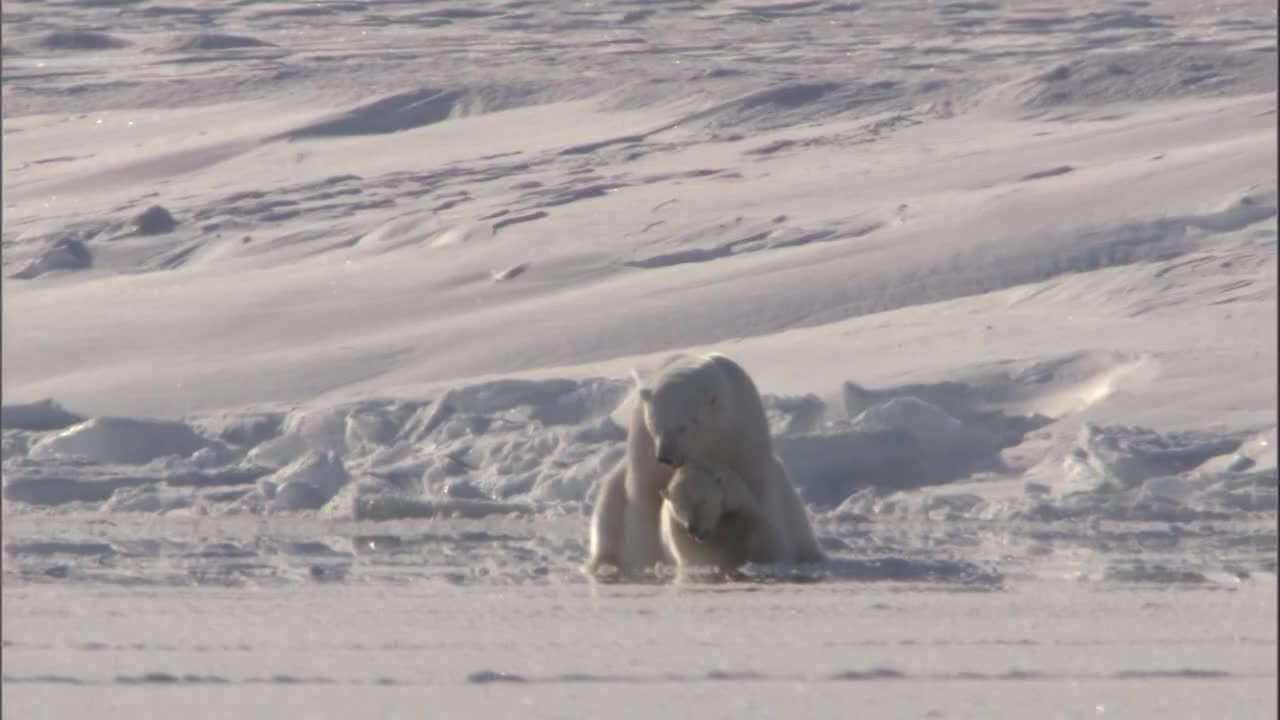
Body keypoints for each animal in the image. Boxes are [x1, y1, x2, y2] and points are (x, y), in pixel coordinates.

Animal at [660, 458, 788, 576]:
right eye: (680, 507)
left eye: (702, 501)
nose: (693, 529)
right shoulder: (679, 530)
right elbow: (693, 553)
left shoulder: (741, 513)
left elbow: (762, 541)